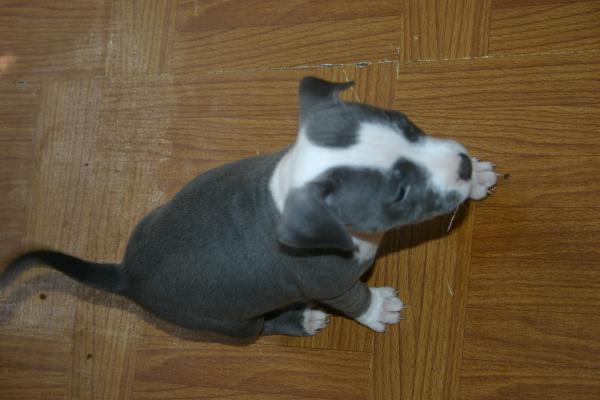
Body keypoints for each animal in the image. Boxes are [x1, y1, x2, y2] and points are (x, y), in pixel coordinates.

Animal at [0, 77, 496, 338]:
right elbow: (354, 297)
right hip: (231, 325)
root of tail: (126, 276)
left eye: (407, 124)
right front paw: (377, 310)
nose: (461, 164)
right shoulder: (329, 280)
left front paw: (476, 178)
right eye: (398, 193)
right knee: (265, 326)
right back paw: (303, 318)